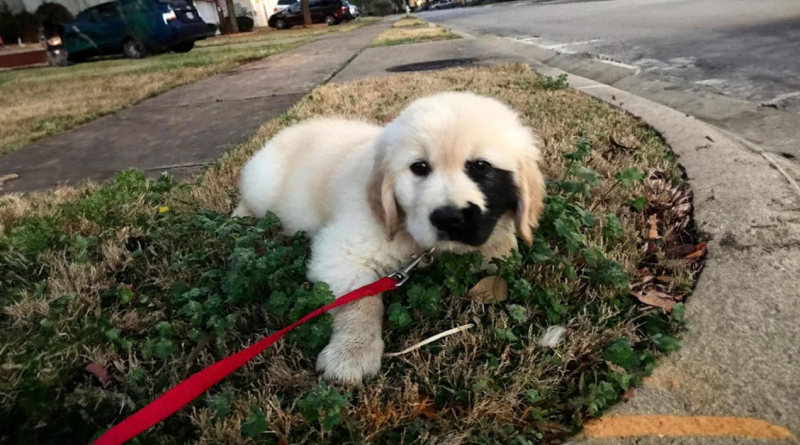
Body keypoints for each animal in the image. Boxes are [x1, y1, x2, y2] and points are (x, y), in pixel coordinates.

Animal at [233, 92, 544, 384]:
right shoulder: (341, 252)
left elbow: (502, 249)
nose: (448, 218)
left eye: (481, 167)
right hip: (263, 183)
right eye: (419, 167)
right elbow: (361, 300)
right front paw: (353, 352)